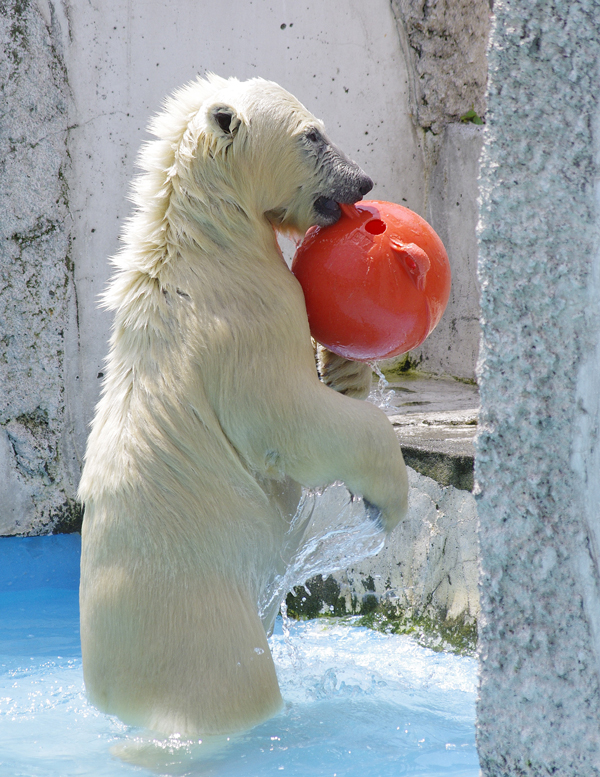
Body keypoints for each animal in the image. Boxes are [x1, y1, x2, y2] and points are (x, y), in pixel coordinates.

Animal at [78, 76, 408, 736]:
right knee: (237, 686)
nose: (363, 183)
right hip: (202, 623)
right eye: (314, 135)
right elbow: (292, 420)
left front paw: (348, 367)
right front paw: (387, 500)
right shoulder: (245, 317)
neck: (206, 242)